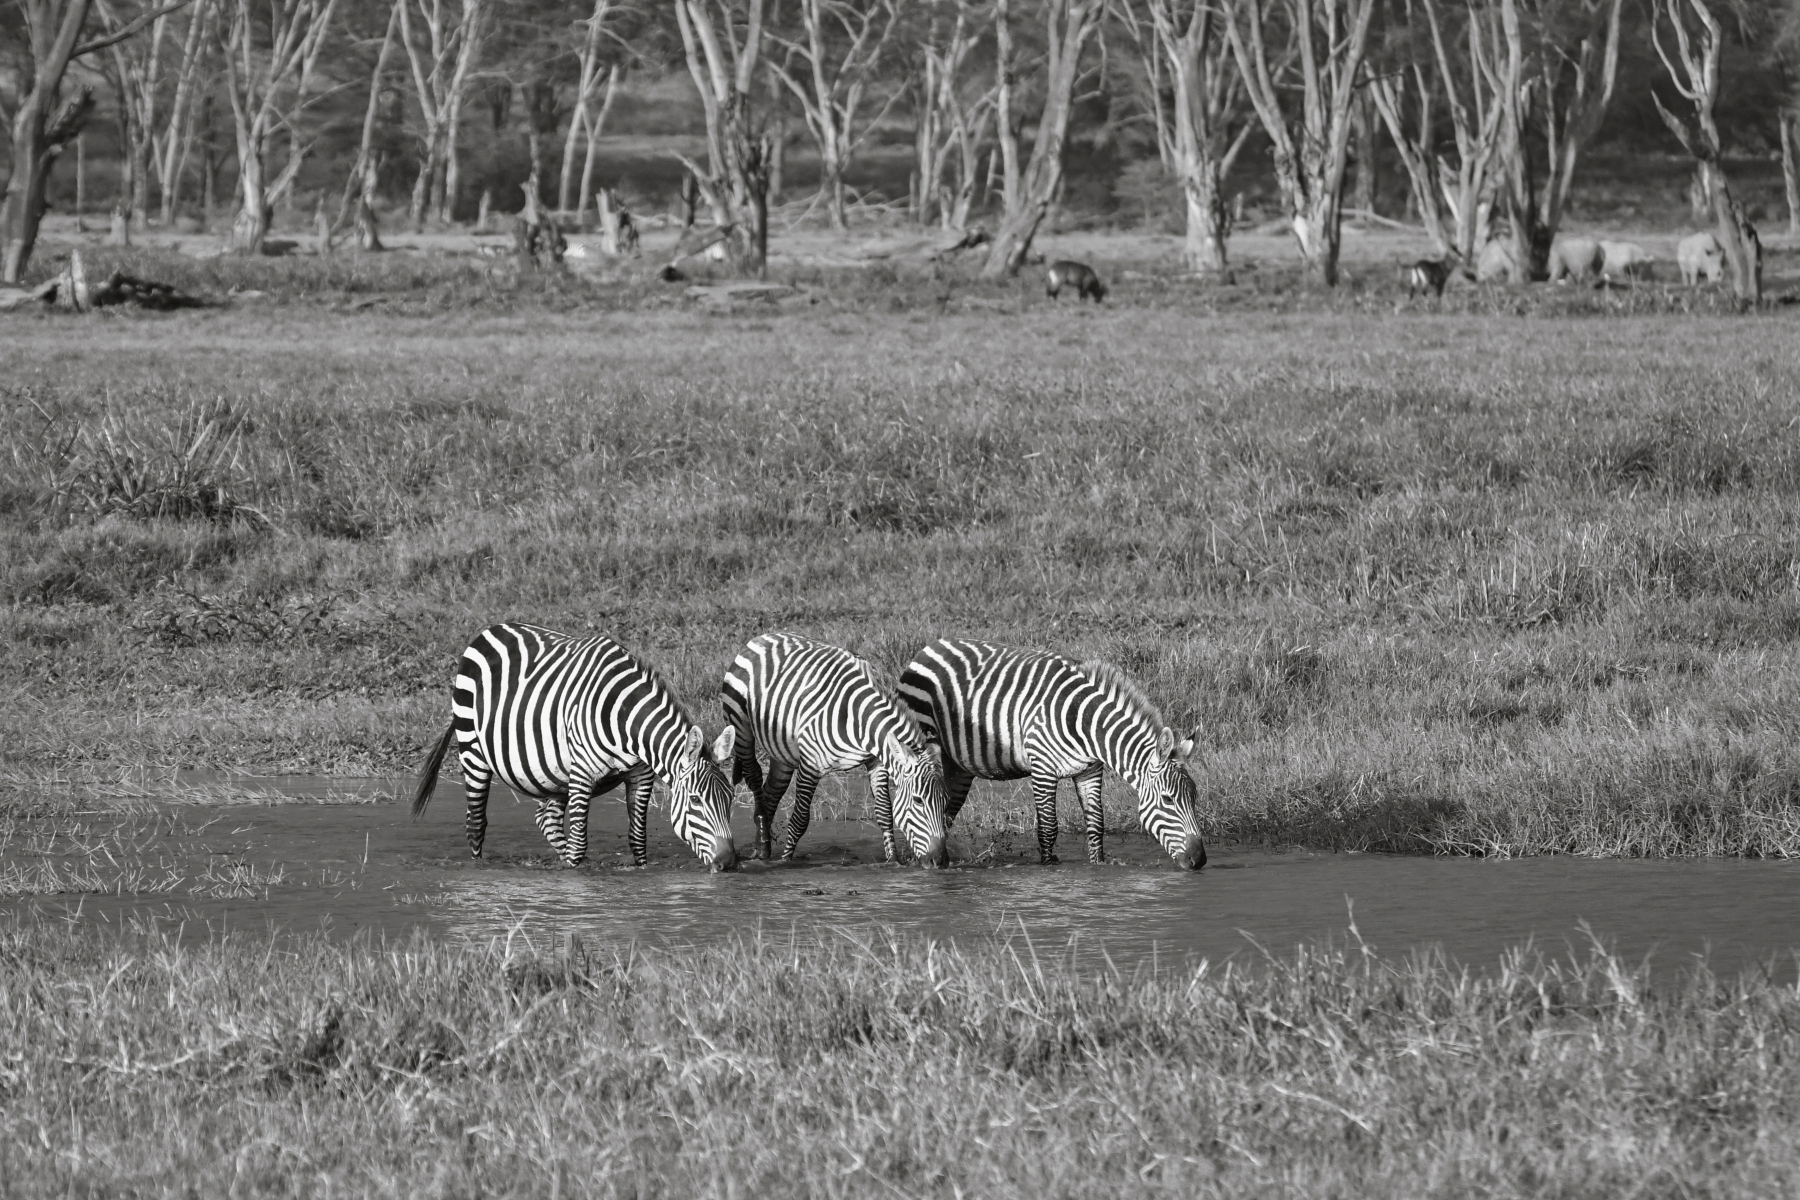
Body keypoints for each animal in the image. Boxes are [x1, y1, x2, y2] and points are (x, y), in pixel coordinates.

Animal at [412, 626, 738, 867]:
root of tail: (487, 631)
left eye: (731, 798)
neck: (626, 719)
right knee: (476, 823)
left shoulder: (641, 775)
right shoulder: (582, 774)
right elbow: (579, 842)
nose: (729, 862)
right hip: (473, 751)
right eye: (695, 800)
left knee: (546, 819)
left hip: (553, 773)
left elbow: (637, 839)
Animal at [720, 633, 957, 867]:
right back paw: (762, 841)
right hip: (740, 727)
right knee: (754, 777)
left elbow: (885, 813)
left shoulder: (877, 762)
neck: (859, 718)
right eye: (918, 800)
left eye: (945, 801)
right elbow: (799, 820)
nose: (940, 861)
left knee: (771, 793)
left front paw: (893, 861)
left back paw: (763, 850)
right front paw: (786, 862)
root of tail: (764, 636)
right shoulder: (810, 765)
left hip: (782, 749)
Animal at [900, 636, 1209, 874]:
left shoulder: (1090, 770)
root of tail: (931, 646)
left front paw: (1098, 866)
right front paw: (1049, 869)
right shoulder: (1043, 769)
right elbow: (1048, 827)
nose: (1199, 861)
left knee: (947, 809)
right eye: (1168, 800)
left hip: (958, 764)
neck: (1086, 724)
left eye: (1195, 796)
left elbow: (1096, 824)